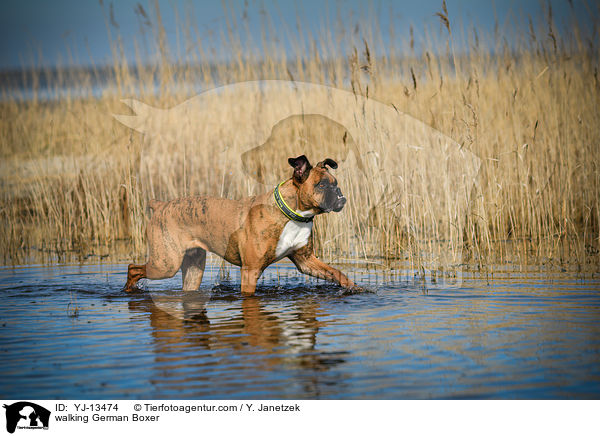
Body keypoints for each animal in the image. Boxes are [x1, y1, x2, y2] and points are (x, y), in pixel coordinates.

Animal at [123, 155, 354, 294]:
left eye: (335, 183)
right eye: (321, 185)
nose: (339, 193)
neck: (292, 214)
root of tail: (160, 205)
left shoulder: (306, 261)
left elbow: (336, 272)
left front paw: (351, 286)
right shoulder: (250, 271)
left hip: (193, 269)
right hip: (166, 264)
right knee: (133, 268)